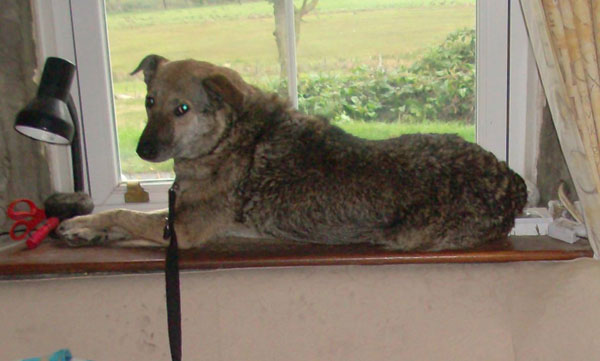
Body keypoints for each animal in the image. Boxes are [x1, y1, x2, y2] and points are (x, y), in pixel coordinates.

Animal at [56, 54, 524, 250]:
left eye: (181, 109)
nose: (142, 147)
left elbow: (126, 215)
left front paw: (88, 225)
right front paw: (82, 227)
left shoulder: (183, 230)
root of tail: (508, 180)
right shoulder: (179, 214)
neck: (228, 141)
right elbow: (125, 216)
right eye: (149, 102)